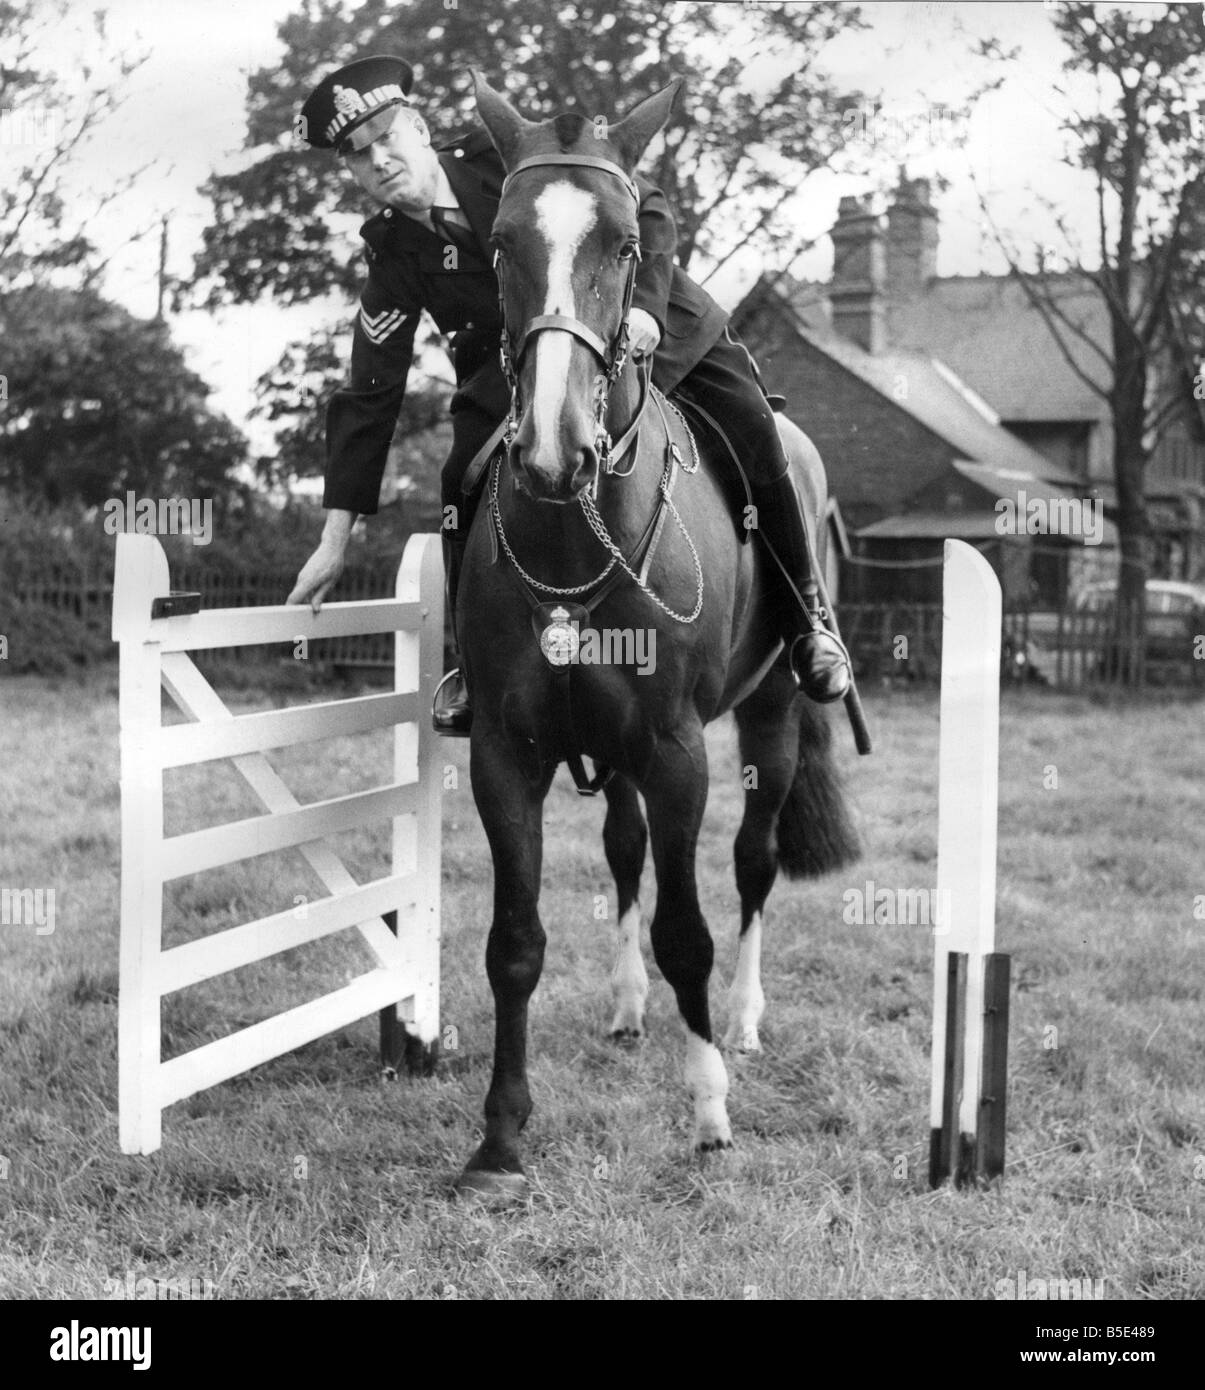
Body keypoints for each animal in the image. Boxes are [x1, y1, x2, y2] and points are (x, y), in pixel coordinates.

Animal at [455, 76, 861, 1200]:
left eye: (629, 241)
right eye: (498, 242)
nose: (553, 447)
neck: (572, 521)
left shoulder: (679, 753)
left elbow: (690, 930)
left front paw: (709, 1110)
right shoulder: (504, 756)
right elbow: (514, 941)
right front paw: (499, 1138)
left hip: (767, 715)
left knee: (752, 866)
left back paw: (743, 1022)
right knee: (626, 851)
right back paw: (630, 1006)